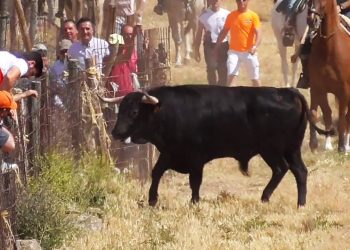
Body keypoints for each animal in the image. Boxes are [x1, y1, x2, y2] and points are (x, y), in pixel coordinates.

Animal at [112, 85, 334, 206]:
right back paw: (298, 203)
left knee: (283, 169)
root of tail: (288, 91)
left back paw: (269, 198)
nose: (116, 132)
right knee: (299, 171)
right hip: (291, 149)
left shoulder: (195, 158)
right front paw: (152, 199)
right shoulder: (169, 153)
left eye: (133, 112)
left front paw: (194, 202)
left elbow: (195, 182)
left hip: (272, 149)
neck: (165, 110)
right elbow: (156, 173)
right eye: (120, 109)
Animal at [308, 0, 350, 152]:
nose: (311, 20)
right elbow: (324, 114)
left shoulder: (344, 91)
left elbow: (342, 117)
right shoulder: (318, 88)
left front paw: (342, 147)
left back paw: (347, 145)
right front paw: (322, 144)